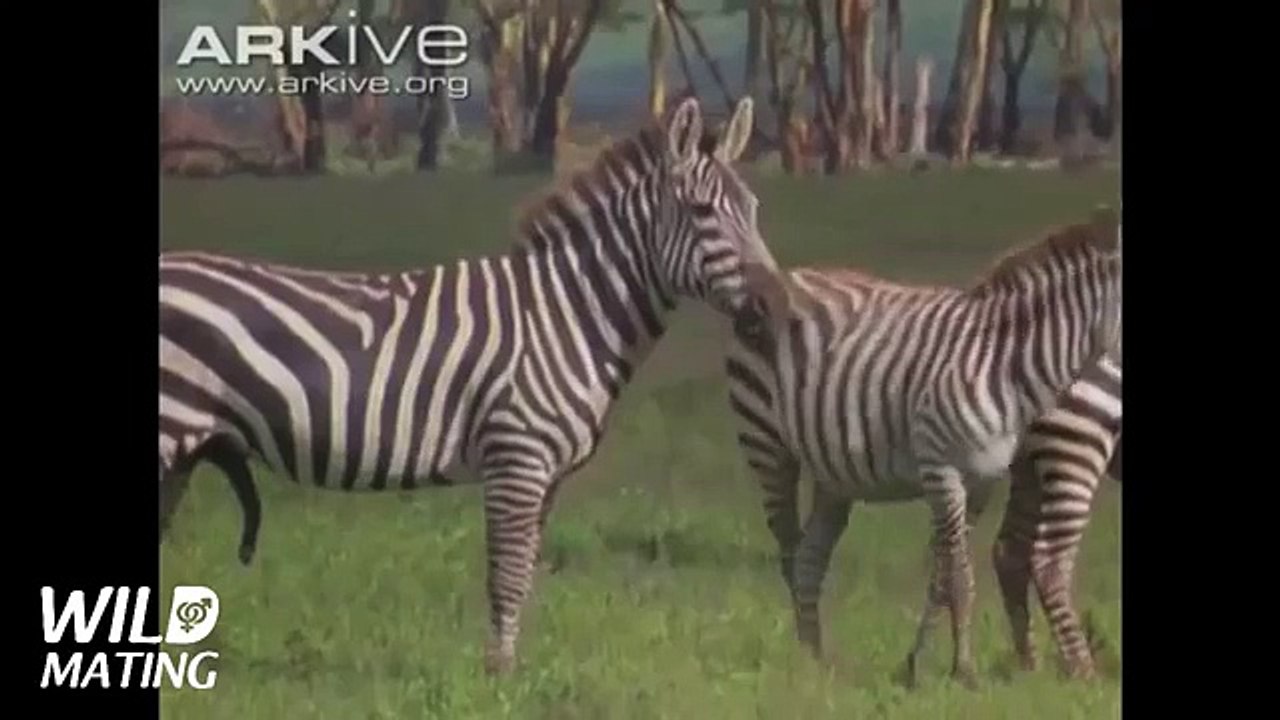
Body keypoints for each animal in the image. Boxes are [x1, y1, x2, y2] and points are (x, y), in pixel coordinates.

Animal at [158, 96, 784, 675]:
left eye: (756, 211)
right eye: (701, 210)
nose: (774, 308)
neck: (567, 313)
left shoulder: (546, 472)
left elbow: (526, 571)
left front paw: (512, 672)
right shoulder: (517, 457)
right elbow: (506, 575)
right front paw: (499, 679)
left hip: (181, 454)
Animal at [723, 209, 1121, 687]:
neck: (1005, 363)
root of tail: (792, 275)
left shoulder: (981, 479)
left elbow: (945, 574)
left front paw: (919, 666)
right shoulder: (941, 468)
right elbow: (960, 578)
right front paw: (964, 671)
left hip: (833, 475)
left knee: (810, 558)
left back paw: (819, 660)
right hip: (767, 443)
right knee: (789, 547)